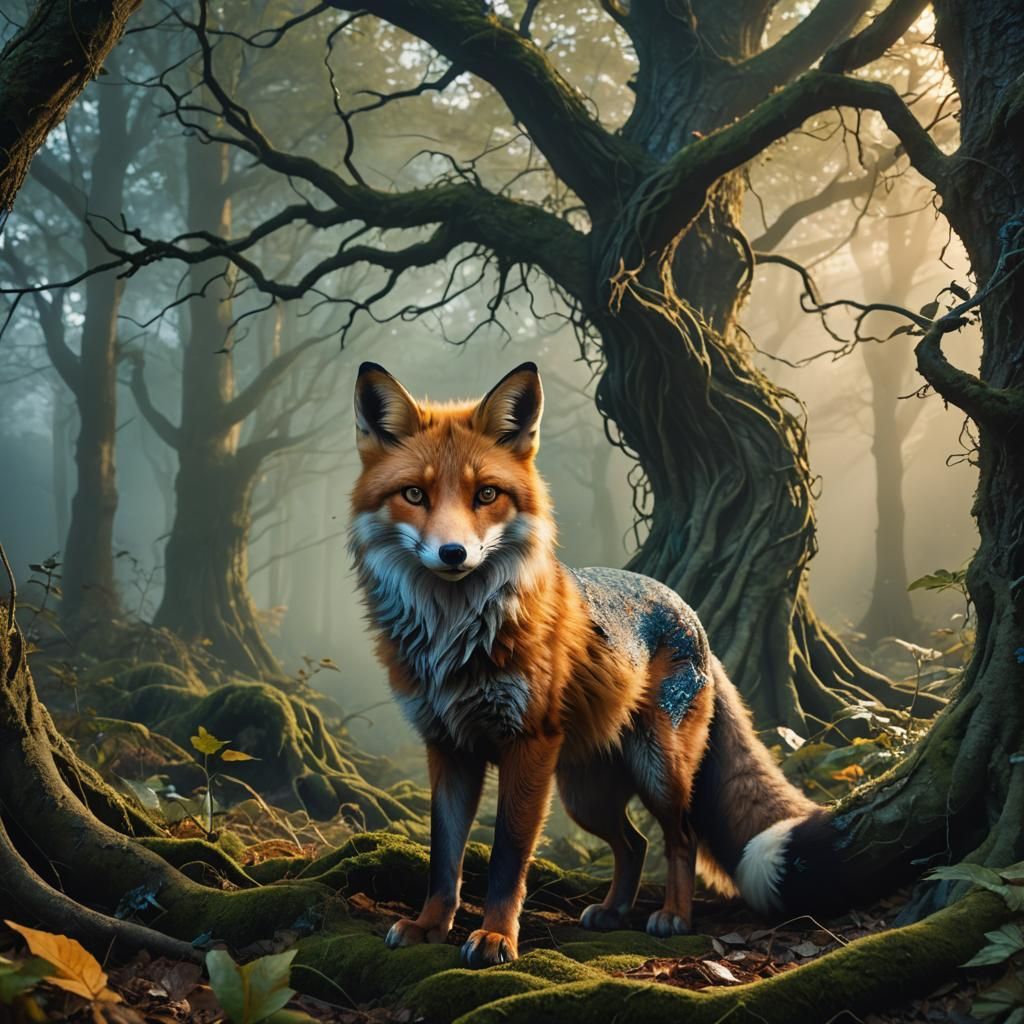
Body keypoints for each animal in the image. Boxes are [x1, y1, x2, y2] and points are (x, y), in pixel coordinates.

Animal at [349, 360, 842, 968]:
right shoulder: (447, 748)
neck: (454, 638)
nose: (453, 554)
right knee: (634, 843)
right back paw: (613, 912)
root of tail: (688, 609)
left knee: (681, 838)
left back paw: (674, 916)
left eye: (486, 494)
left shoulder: (527, 744)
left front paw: (496, 937)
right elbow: (444, 858)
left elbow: (507, 858)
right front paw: (429, 927)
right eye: (414, 494)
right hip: (583, 794)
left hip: (657, 770)